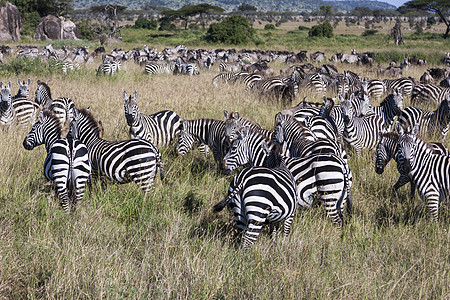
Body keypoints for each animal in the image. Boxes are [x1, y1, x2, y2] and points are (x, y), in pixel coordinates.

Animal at [223, 126, 354, 227]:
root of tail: (341, 162)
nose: (223, 165)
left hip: (329, 193)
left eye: (233, 148)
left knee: (337, 221)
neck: (268, 159)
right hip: (341, 198)